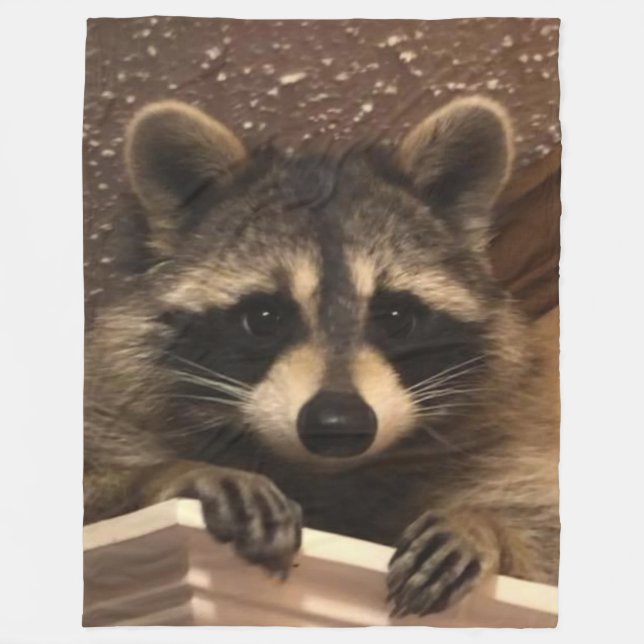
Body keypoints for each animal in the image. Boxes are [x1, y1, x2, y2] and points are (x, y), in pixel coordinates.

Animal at [84, 96, 560, 617]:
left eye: (396, 316)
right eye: (264, 318)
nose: (337, 423)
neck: (325, 475)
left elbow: (545, 553)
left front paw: (484, 525)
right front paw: (175, 472)